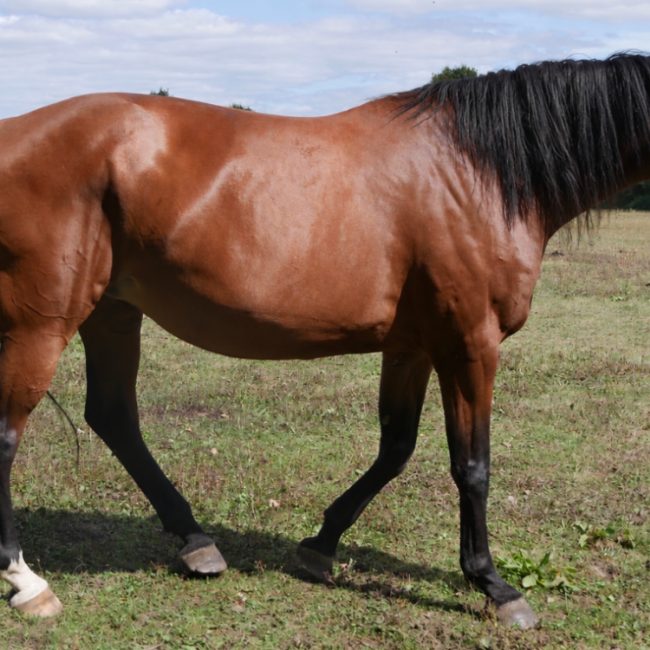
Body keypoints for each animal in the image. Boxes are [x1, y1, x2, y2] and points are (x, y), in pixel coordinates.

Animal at [0, 52, 648, 627]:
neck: (477, 174)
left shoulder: (412, 347)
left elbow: (396, 447)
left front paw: (321, 545)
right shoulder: (470, 343)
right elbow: (472, 465)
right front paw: (493, 584)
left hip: (112, 311)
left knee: (113, 416)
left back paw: (196, 541)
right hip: (42, 322)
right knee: (11, 434)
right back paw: (26, 581)